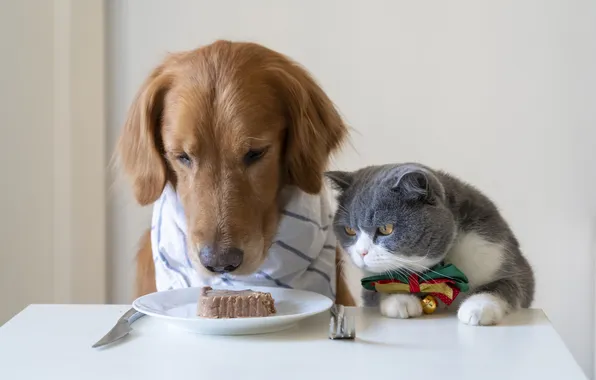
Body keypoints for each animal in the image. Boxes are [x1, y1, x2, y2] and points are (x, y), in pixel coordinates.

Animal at [326, 162, 536, 326]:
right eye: (349, 230)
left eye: (386, 228)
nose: (361, 252)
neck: (436, 273)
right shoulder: (369, 282)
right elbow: (379, 286)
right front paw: (400, 300)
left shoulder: (498, 251)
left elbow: (506, 285)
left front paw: (477, 307)